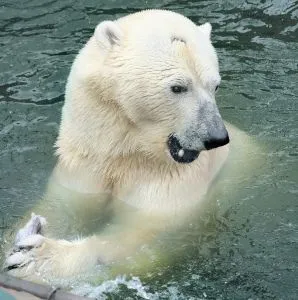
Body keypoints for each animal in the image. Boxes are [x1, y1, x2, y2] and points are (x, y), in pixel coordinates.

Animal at [3, 8, 258, 282]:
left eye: (215, 85)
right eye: (178, 87)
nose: (216, 137)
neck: (130, 154)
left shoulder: (174, 182)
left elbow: (142, 236)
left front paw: (41, 258)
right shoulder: (86, 164)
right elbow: (64, 206)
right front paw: (24, 236)